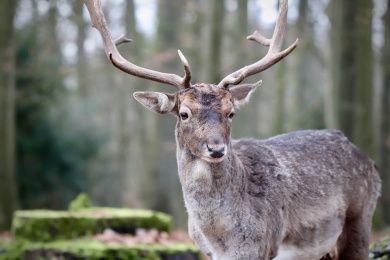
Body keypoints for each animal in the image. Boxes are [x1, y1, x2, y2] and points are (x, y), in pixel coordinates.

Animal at [84, 1, 380, 258]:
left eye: (231, 113)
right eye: (184, 113)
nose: (216, 149)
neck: (223, 238)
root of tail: (368, 160)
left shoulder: (264, 246)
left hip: (360, 217)